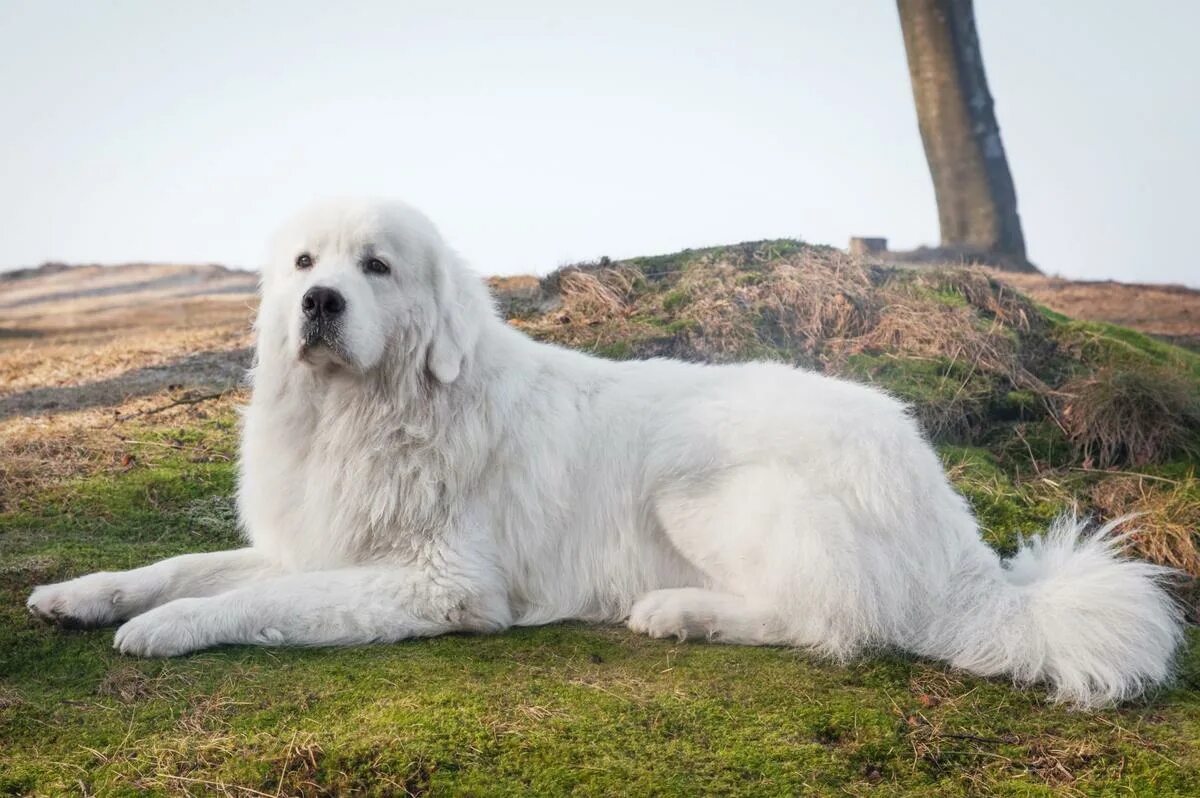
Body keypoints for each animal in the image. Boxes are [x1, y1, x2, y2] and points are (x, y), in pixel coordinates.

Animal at [25, 199, 1180, 705]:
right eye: (305, 263)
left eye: (377, 267)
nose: (318, 304)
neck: (370, 414)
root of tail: (958, 536)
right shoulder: (316, 543)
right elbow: (180, 565)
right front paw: (83, 596)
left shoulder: (438, 584)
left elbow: (256, 601)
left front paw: (168, 630)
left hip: (696, 491)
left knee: (834, 623)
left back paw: (679, 613)